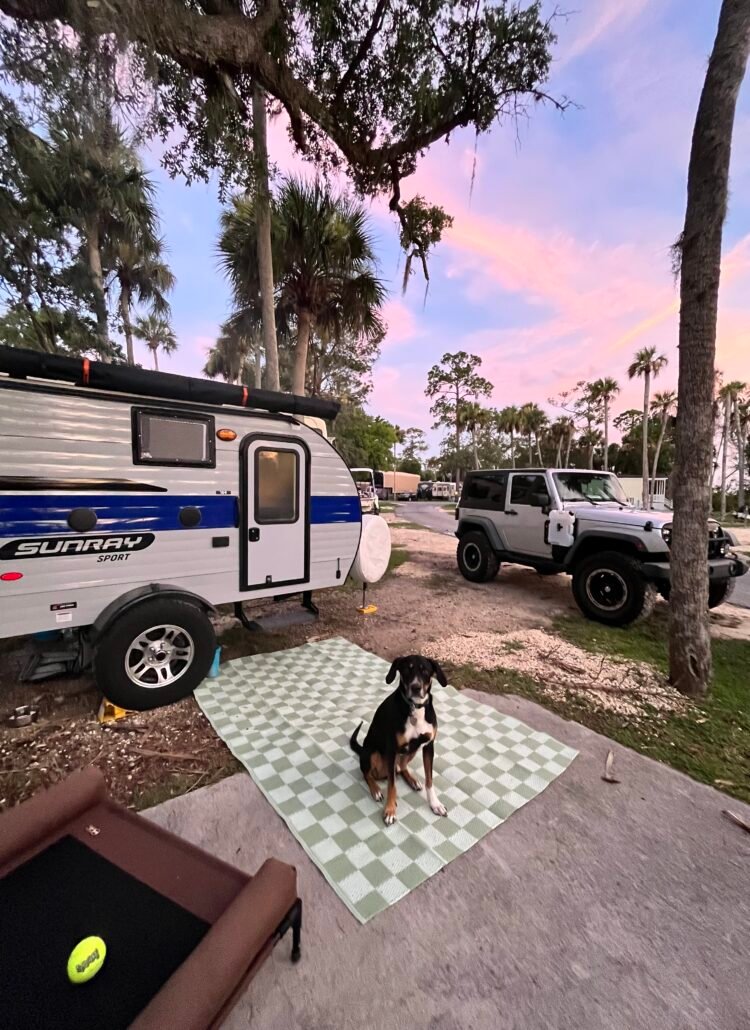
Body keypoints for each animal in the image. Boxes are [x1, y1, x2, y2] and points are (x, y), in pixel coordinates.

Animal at [350, 655, 449, 824]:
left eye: (425, 671)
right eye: (406, 670)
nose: (416, 687)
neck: (415, 708)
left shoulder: (428, 746)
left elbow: (429, 780)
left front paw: (435, 804)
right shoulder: (392, 750)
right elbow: (392, 785)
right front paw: (390, 810)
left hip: (413, 750)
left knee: (401, 767)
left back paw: (412, 780)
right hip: (371, 753)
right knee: (367, 774)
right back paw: (376, 790)